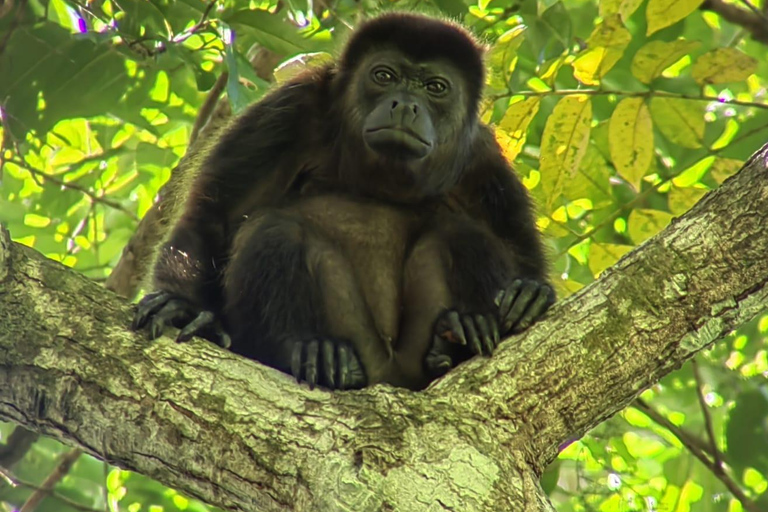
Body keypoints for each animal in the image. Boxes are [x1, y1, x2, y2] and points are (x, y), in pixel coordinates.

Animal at [132, 12, 552, 390]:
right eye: (384, 76)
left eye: (436, 87)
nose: (405, 105)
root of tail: (389, 376)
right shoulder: (289, 109)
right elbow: (215, 216)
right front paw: (181, 306)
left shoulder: (481, 158)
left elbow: (520, 248)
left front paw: (529, 293)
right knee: (274, 230)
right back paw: (310, 350)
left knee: (461, 231)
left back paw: (458, 335)